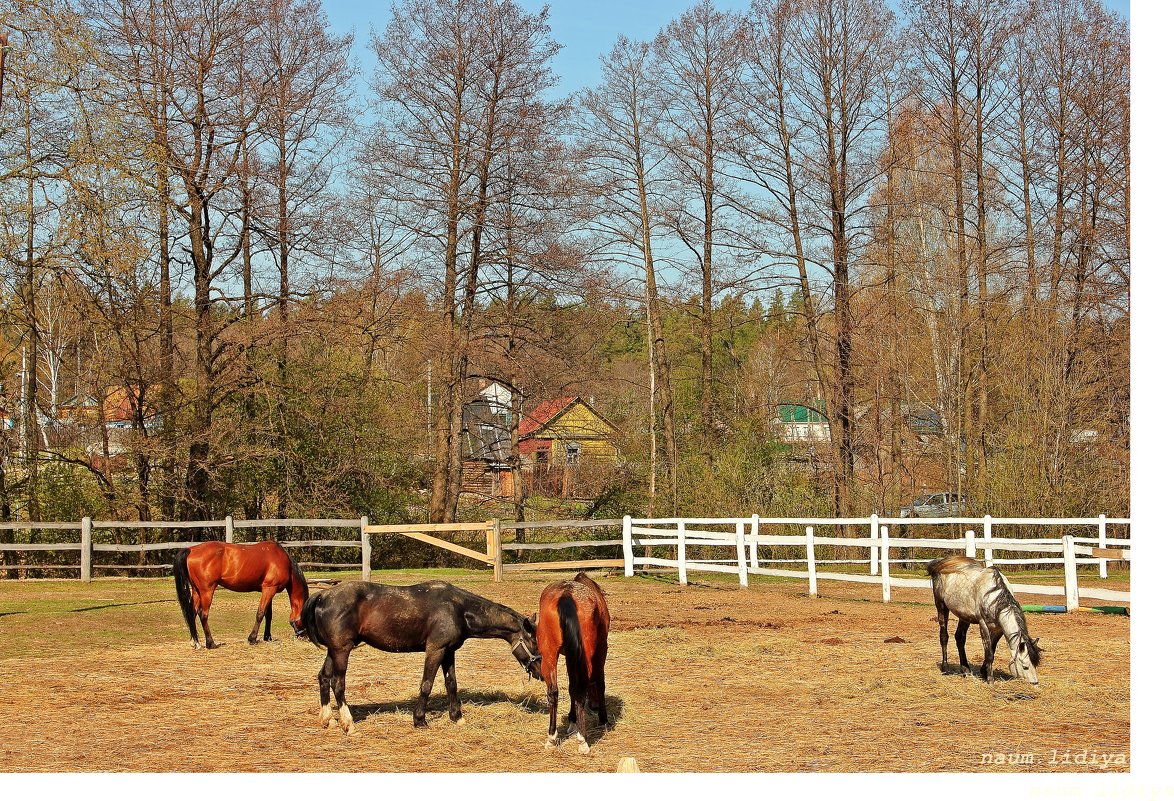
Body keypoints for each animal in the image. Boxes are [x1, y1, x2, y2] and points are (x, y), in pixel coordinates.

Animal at [173, 535, 309, 648]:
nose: (306, 637)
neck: (284, 562)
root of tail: (191, 550)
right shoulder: (270, 589)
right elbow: (260, 614)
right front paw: (252, 639)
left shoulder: (268, 589)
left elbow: (268, 614)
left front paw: (267, 637)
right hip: (207, 591)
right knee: (203, 614)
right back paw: (210, 643)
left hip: (196, 591)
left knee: (192, 613)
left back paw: (195, 642)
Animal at [300, 577, 542, 732]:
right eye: (535, 642)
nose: (541, 672)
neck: (458, 609)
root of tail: (323, 594)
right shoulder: (435, 650)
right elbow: (427, 684)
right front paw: (420, 720)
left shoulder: (448, 652)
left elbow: (451, 684)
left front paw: (457, 717)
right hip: (342, 650)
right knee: (338, 683)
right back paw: (348, 724)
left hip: (333, 650)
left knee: (323, 678)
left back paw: (328, 719)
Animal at [537, 570, 610, 751]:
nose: (594, 706)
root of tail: (566, 594)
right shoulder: (601, 650)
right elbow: (599, 683)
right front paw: (603, 719)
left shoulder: (570, 656)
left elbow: (571, 688)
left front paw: (572, 721)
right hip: (588, 655)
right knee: (581, 689)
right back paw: (583, 740)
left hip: (549, 656)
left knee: (553, 692)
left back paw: (552, 736)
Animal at [929, 552, 1042, 681]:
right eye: (1025, 666)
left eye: (1035, 665)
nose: (1035, 683)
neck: (993, 596)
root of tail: (941, 562)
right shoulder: (983, 625)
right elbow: (988, 653)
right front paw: (990, 679)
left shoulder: (999, 629)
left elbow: (992, 649)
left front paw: (984, 671)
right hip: (941, 606)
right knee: (944, 636)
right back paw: (945, 668)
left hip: (964, 616)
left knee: (960, 638)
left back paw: (965, 669)